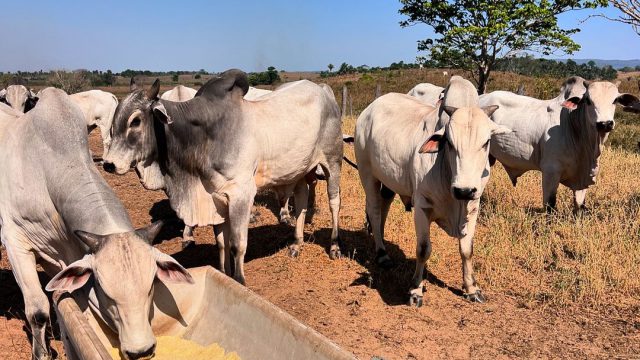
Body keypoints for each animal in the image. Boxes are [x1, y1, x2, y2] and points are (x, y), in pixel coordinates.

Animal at [0, 88, 192, 360]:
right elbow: (38, 311)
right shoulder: (15, 242)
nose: (142, 350)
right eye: (104, 290)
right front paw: (41, 354)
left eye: (151, 286)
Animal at [105, 69, 344, 284]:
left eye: (136, 121)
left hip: (333, 162)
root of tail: (324, 92)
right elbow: (222, 243)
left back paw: (334, 246)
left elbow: (237, 244)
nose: (109, 164)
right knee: (302, 201)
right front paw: (223, 275)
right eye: (115, 120)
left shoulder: (241, 195)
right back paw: (296, 244)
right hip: (301, 170)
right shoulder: (216, 199)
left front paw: (239, 281)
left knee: (334, 202)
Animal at [356, 76, 510, 306]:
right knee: (374, 211)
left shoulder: (473, 206)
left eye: (486, 142)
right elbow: (423, 249)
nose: (464, 190)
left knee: (384, 207)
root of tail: (369, 109)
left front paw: (471, 288)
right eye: (450, 143)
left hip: (389, 180)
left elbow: (467, 250)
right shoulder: (422, 206)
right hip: (367, 174)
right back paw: (382, 254)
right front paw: (415, 290)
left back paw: (380, 239)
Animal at [478, 76, 636, 211]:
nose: (604, 124)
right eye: (588, 100)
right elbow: (550, 205)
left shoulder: (581, 179)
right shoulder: (550, 171)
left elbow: (579, 206)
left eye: (615, 100)